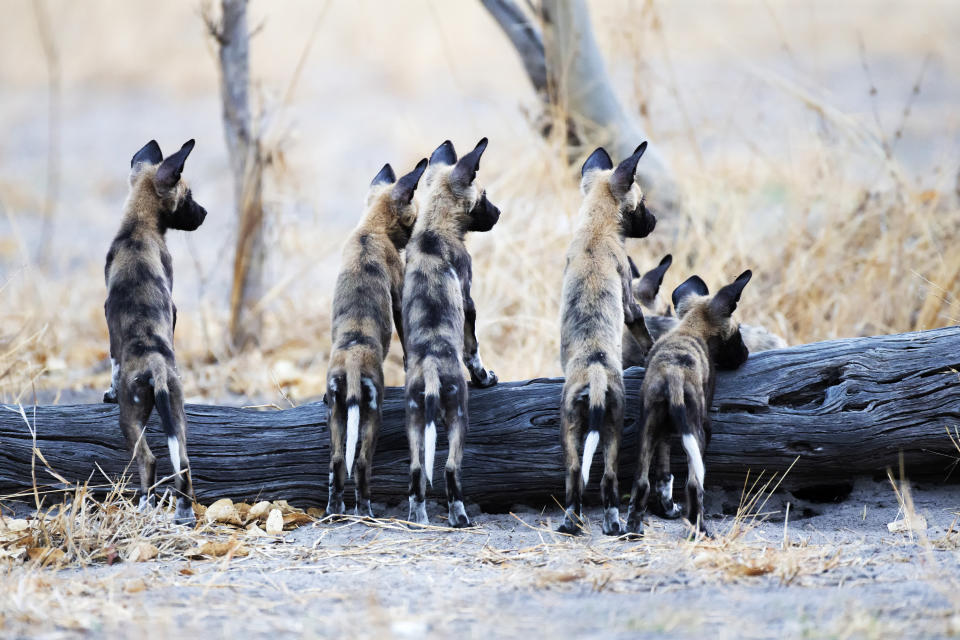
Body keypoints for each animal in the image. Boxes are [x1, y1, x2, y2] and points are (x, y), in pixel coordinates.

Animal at [103, 140, 208, 524]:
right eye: (189, 196)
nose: (204, 213)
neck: (139, 226)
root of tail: (157, 368)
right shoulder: (173, 306)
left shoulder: (108, 314)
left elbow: (112, 358)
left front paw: (108, 389)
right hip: (177, 412)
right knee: (184, 464)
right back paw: (183, 513)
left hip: (129, 420)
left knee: (147, 460)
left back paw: (144, 506)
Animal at [324, 158, 426, 516]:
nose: (415, 234)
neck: (371, 229)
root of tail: (354, 359)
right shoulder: (398, 297)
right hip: (374, 414)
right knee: (361, 463)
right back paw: (365, 510)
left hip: (337, 412)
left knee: (337, 462)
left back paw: (334, 511)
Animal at [556, 144, 660, 536]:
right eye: (642, 201)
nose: (655, 220)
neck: (596, 228)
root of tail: (596, 369)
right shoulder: (630, 301)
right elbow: (642, 329)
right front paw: (650, 352)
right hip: (615, 424)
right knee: (609, 479)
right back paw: (615, 522)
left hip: (569, 424)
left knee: (574, 475)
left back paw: (571, 522)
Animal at [628, 268, 752, 536]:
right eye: (738, 334)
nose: (745, 355)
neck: (691, 328)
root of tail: (673, 374)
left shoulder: (663, 431)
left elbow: (663, 477)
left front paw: (666, 508)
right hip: (698, 431)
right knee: (695, 485)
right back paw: (701, 529)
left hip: (648, 426)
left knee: (642, 482)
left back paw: (632, 529)